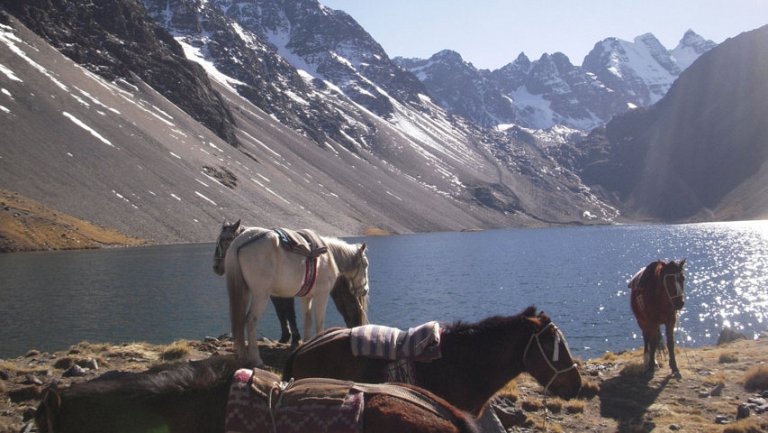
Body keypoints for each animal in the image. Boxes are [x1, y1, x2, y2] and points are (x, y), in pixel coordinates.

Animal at [208, 219, 368, 364]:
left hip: (245, 292)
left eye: (225, 240)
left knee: (240, 319)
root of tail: (241, 242)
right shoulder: (321, 295)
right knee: (251, 320)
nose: (364, 290)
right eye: (366, 264)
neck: (328, 255)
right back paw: (256, 358)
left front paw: (306, 345)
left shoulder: (306, 297)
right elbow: (318, 322)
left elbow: (307, 320)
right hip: (261, 295)